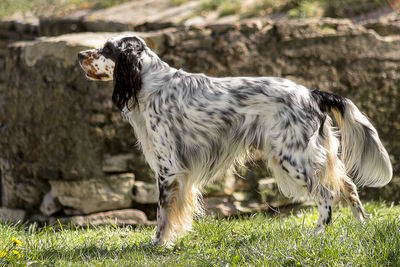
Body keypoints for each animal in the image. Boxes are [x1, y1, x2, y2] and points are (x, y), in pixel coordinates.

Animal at [79, 35, 394, 247]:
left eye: (106, 49)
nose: (80, 54)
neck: (150, 84)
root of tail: (311, 93)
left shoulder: (168, 168)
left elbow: (163, 213)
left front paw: (158, 243)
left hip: (292, 159)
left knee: (327, 196)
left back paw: (316, 234)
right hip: (316, 156)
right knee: (348, 186)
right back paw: (362, 224)